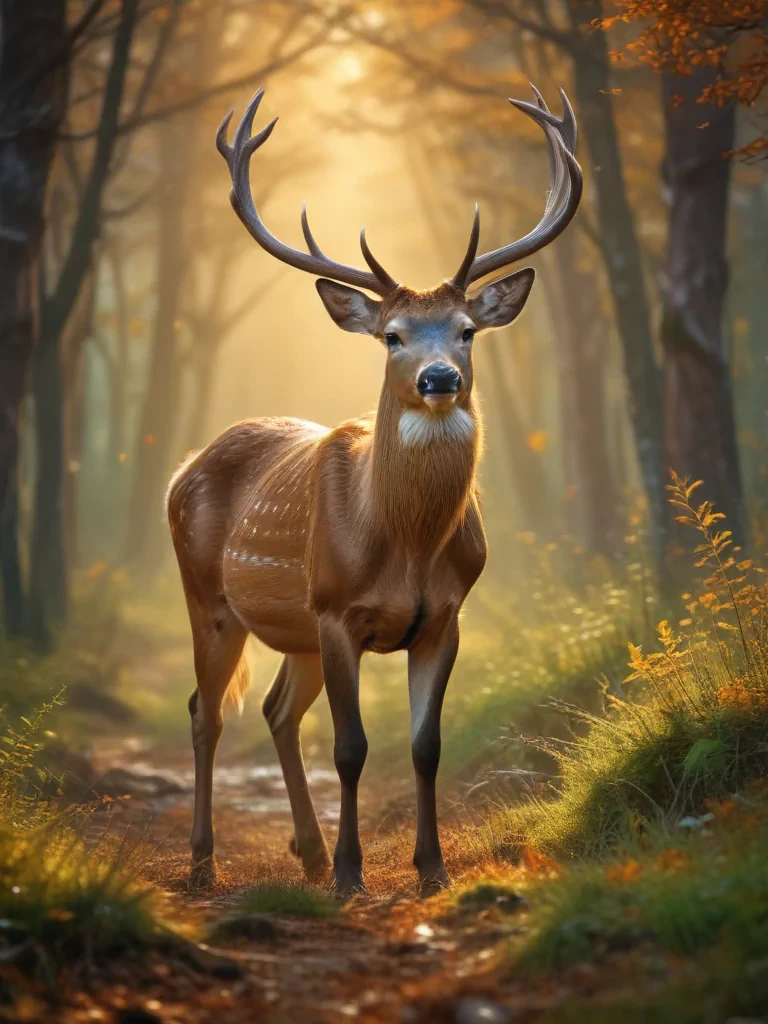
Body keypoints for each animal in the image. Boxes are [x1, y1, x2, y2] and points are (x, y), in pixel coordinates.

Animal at [166, 83, 582, 895]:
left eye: (466, 331)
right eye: (392, 336)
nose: (439, 379)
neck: (404, 546)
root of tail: (183, 468)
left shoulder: (446, 616)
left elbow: (425, 745)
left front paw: (431, 870)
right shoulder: (335, 610)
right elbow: (352, 748)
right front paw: (352, 875)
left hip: (290, 628)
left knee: (275, 710)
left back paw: (305, 849)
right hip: (210, 597)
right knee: (207, 710)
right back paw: (203, 863)